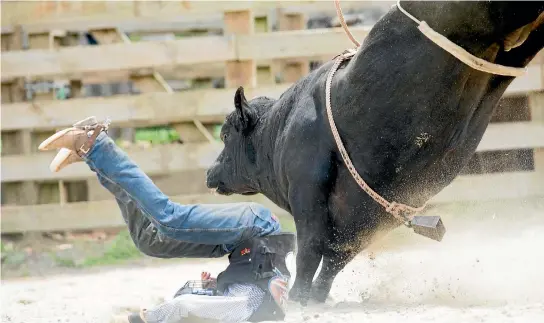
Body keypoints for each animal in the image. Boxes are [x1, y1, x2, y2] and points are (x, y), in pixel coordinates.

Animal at [206, 1, 544, 306]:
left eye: (225, 135)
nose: (210, 172)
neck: (282, 128)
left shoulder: (307, 191)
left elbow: (310, 249)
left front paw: (297, 297)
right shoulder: (373, 216)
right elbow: (335, 259)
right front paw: (317, 297)